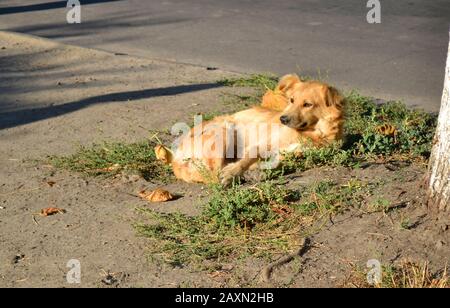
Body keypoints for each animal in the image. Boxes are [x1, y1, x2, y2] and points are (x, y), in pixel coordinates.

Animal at [155, 74, 344, 185]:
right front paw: (234, 171)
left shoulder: (293, 154)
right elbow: (247, 158)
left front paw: (258, 169)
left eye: (307, 104)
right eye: (291, 100)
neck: (314, 134)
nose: (282, 119)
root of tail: (175, 157)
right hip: (224, 131)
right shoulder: (261, 144)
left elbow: (278, 161)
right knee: (214, 174)